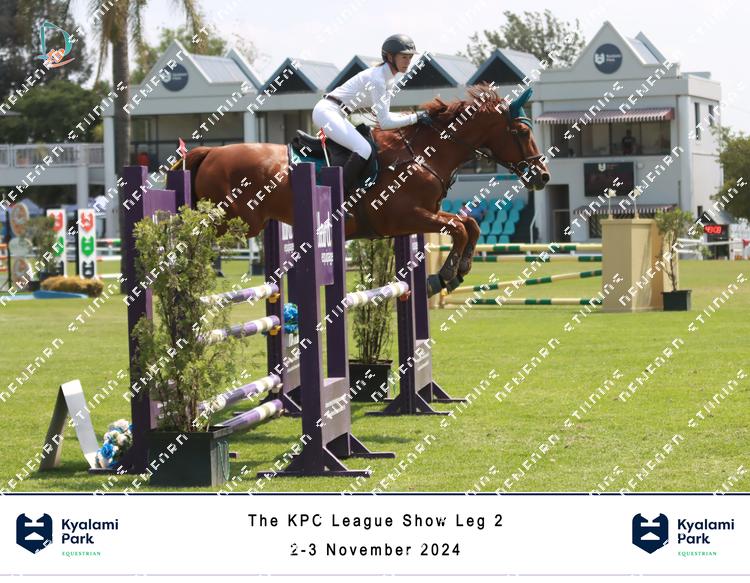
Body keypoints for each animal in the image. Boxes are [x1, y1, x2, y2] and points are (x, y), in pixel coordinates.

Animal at [185, 84, 549, 292]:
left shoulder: (425, 214)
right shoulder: (404, 217)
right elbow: (460, 228)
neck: (423, 155)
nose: (543, 176)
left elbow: (469, 225)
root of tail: (211, 152)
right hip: (237, 222)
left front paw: (460, 270)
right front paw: (441, 277)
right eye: (520, 132)